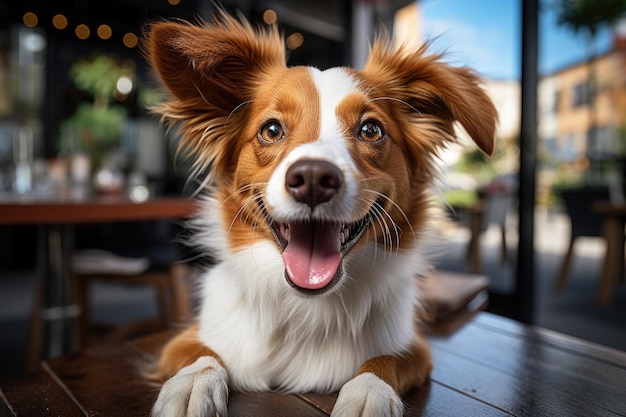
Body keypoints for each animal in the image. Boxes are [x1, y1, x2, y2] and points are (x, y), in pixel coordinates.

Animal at [144, 10, 494, 416]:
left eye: (371, 129)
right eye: (271, 129)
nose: (312, 178)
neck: (305, 307)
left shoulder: (412, 347)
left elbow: (383, 361)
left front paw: (369, 393)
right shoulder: (190, 336)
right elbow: (200, 354)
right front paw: (192, 385)